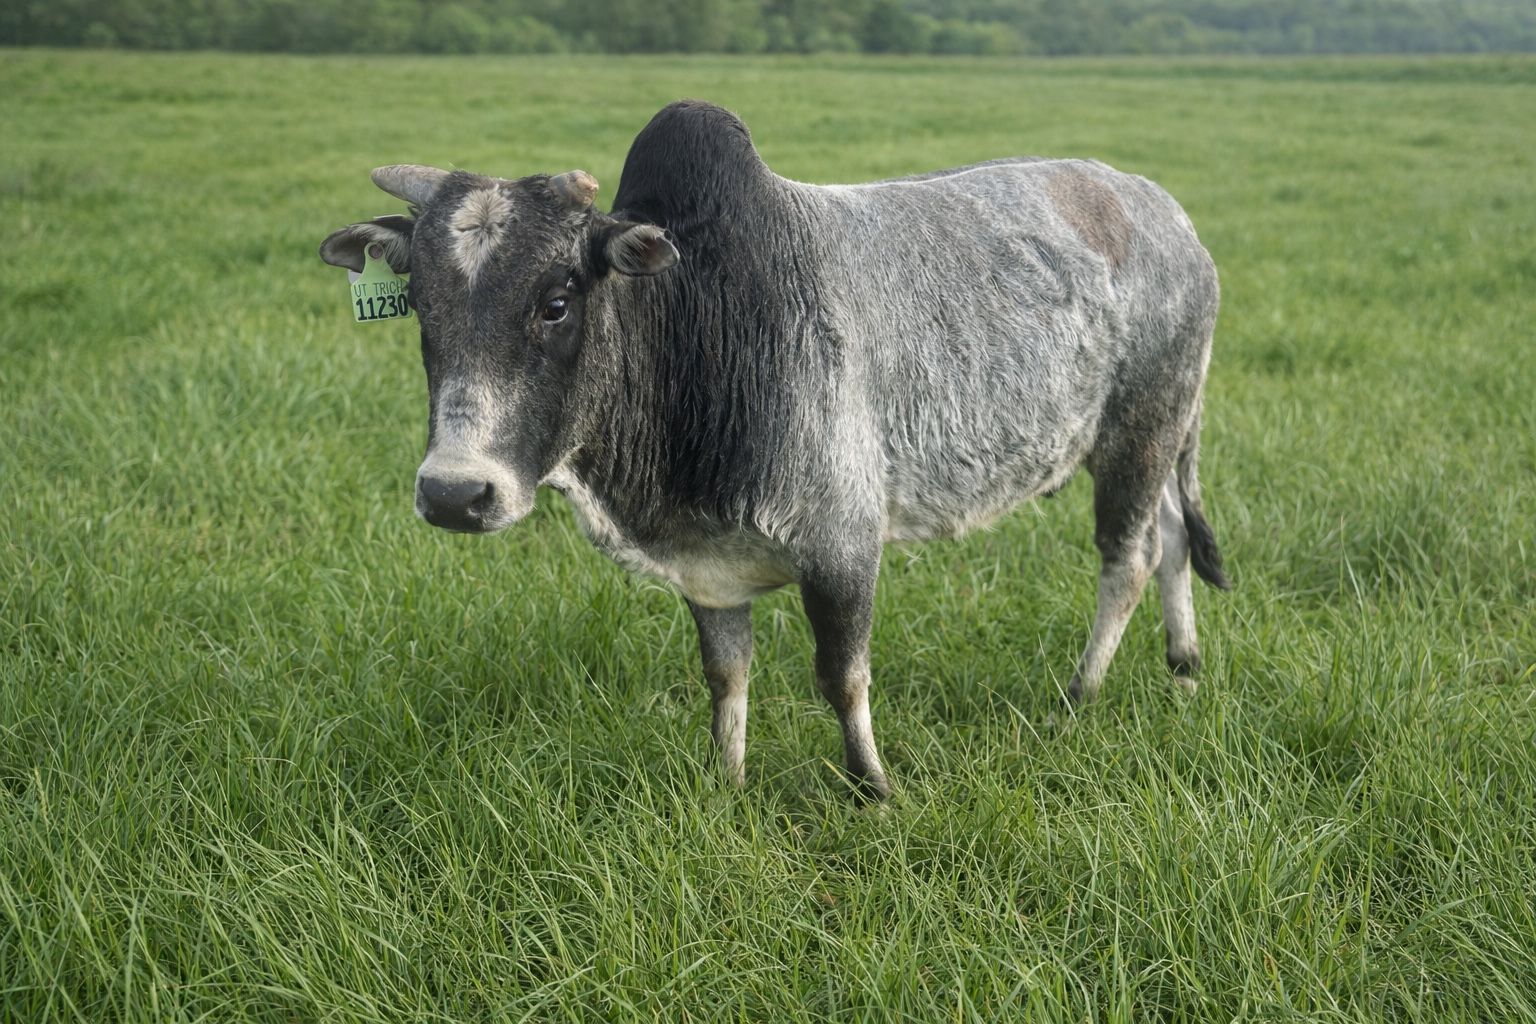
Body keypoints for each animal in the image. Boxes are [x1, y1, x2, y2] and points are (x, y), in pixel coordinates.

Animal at [320, 100, 1229, 802]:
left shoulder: (844, 546)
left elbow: (842, 677)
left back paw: (1080, 695)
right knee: (1173, 536)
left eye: (555, 302)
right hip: (1159, 437)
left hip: (1140, 432)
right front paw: (726, 783)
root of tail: (1169, 213)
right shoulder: (709, 568)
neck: (696, 324)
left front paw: (874, 791)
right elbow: (727, 676)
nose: (453, 493)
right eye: (420, 306)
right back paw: (1183, 668)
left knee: (1130, 557)